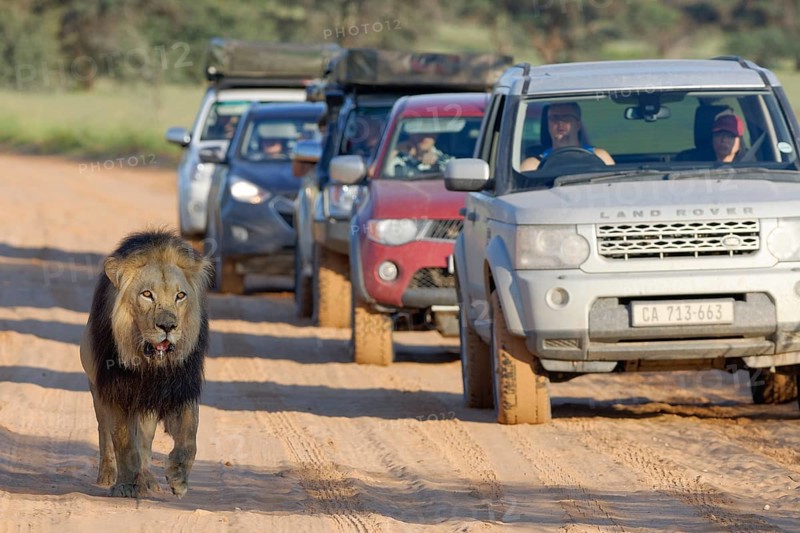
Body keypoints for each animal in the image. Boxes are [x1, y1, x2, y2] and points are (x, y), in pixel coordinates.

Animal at [79, 229, 212, 498]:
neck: (151, 366)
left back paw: (147, 479)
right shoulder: (116, 391)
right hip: (96, 390)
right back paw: (108, 475)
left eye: (180, 296)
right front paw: (126, 485)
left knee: (145, 442)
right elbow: (122, 440)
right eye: (147, 294)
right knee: (104, 432)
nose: (168, 326)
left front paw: (178, 478)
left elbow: (189, 435)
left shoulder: (181, 388)